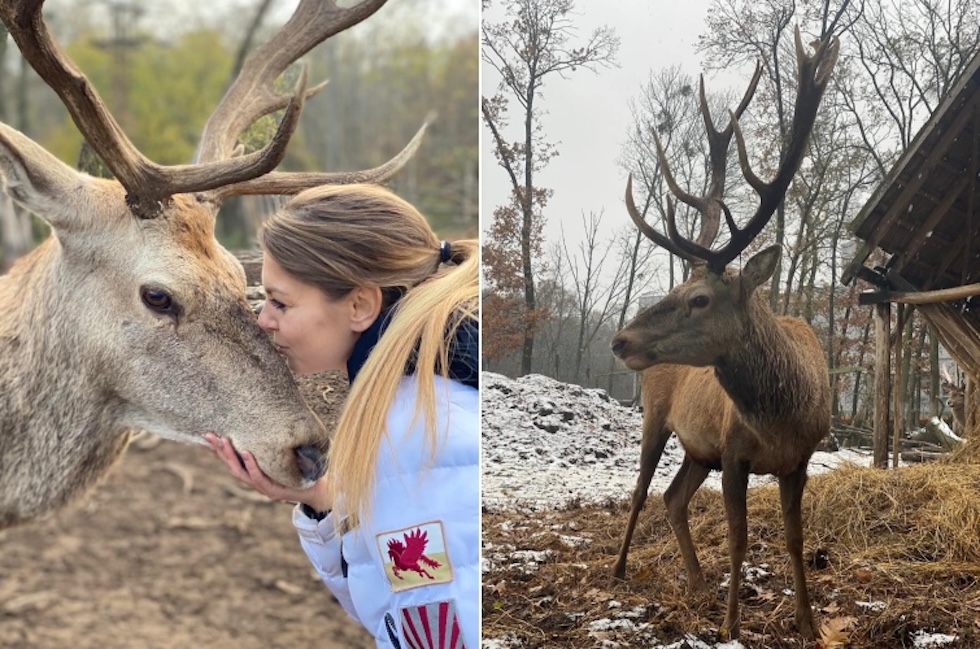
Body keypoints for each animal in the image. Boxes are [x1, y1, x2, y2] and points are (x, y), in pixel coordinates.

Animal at [612, 30, 836, 636]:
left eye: (700, 299)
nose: (620, 340)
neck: (782, 414)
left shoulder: (799, 460)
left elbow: (794, 539)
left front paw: (808, 623)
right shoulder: (735, 454)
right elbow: (738, 540)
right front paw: (733, 627)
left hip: (698, 450)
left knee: (673, 498)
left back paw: (696, 581)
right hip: (656, 417)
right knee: (641, 490)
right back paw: (619, 569)